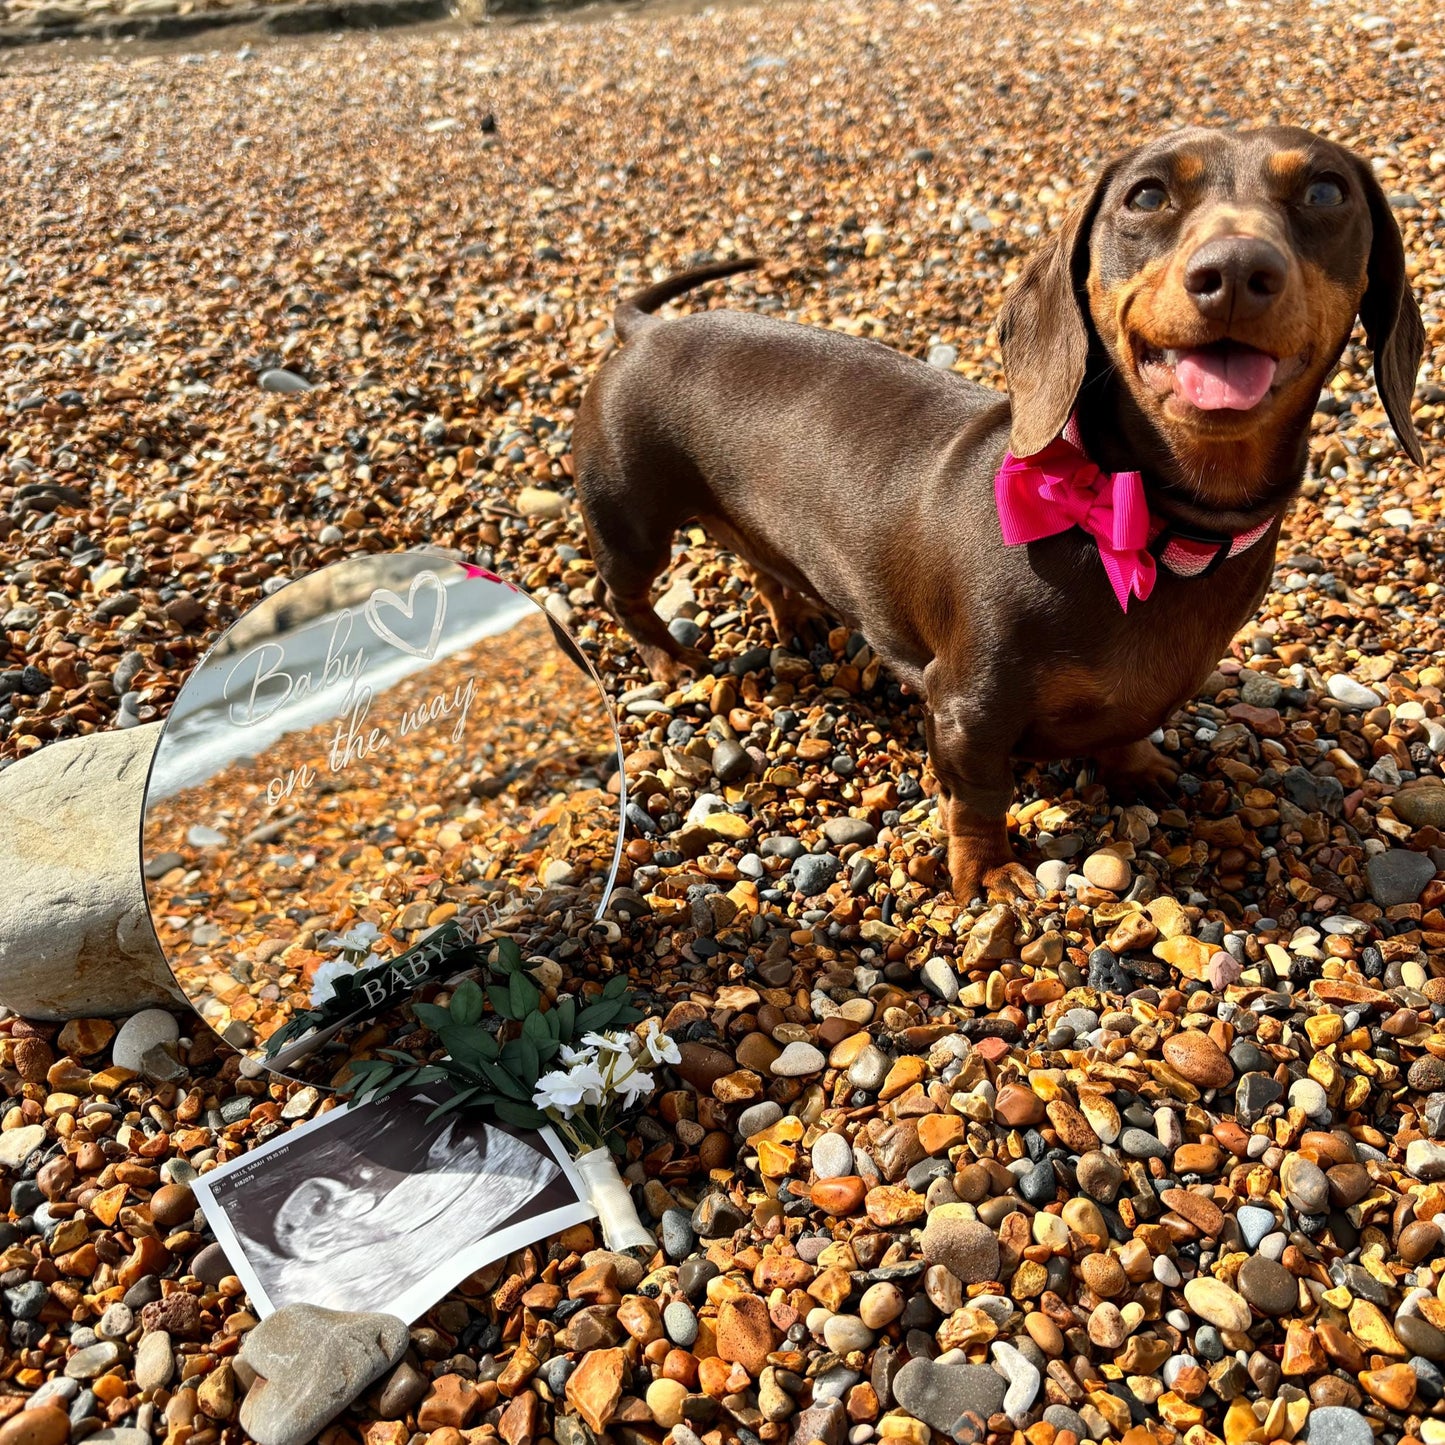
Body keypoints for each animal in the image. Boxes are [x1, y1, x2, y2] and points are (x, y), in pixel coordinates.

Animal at [571, 126, 1425, 903]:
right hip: (631, 522)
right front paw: (987, 872)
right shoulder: (964, 709)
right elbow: (980, 798)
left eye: (1325, 191)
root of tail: (647, 331)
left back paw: (796, 617)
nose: (1236, 271)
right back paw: (666, 661)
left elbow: (1127, 732)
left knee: (760, 563)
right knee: (625, 595)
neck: (1143, 525)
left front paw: (1138, 770)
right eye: (1146, 194)